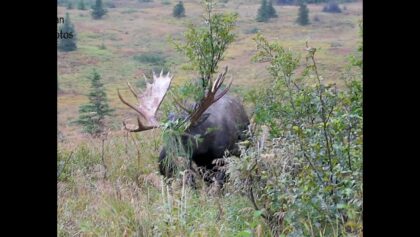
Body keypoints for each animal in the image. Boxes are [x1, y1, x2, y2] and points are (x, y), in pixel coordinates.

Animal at [118, 66, 249, 183]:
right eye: (164, 136)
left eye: (184, 136)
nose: (163, 165)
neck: (205, 147)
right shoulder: (201, 165)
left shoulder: (222, 160)